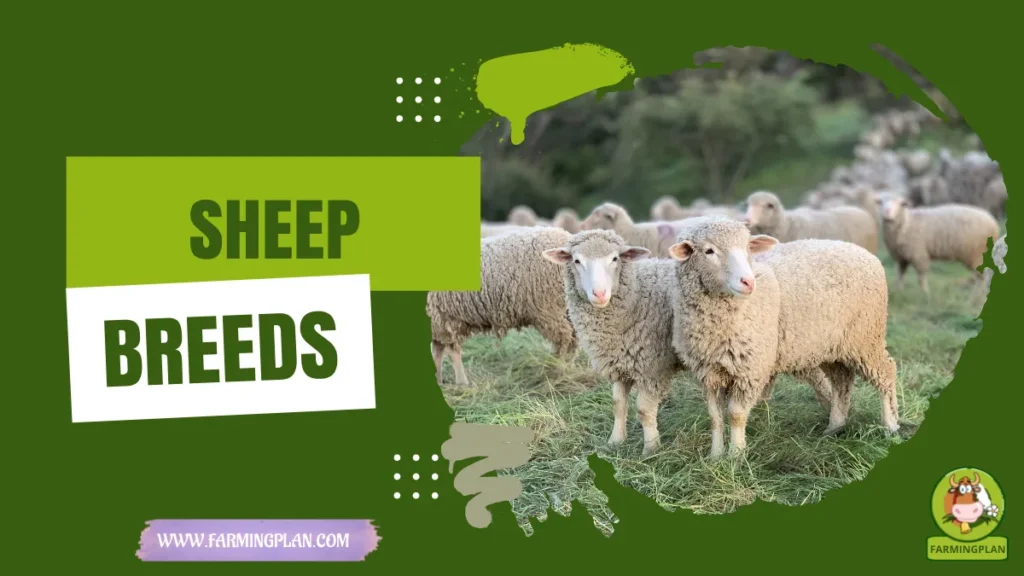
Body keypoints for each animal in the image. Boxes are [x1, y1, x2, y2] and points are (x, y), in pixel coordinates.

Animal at [427, 227, 577, 386]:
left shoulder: (443, 318)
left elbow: (449, 351)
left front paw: (461, 383)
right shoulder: (440, 322)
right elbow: (439, 351)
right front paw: (439, 381)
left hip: (549, 308)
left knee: (564, 338)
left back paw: (558, 370)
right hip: (565, 308)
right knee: (573, 338)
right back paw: (568, 366)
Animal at [541, 229, 685, 457]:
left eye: (615, 258)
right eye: (577, 260)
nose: (599, 294)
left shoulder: (652, 367)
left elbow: (644, 410)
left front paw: (651, 449)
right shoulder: (618, 363)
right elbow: (617, 405)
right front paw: (615, 441)